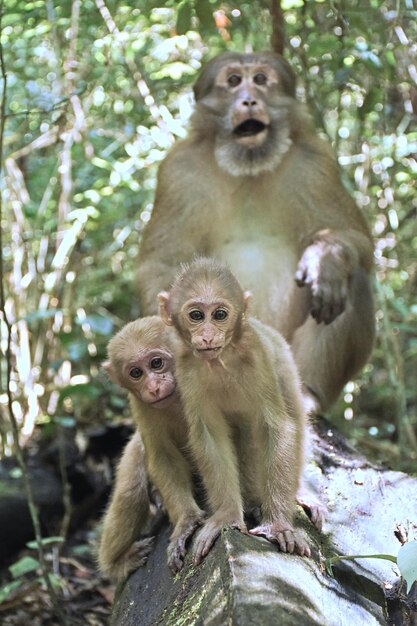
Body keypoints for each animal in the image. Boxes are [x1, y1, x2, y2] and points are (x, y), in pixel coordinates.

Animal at [97, 314, 203, 576]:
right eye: (136, 373)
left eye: (156, 363)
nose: (153, 387)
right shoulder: (140, 405)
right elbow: (163, 458)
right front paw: (186, 521)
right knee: (131, 491)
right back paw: (115, 565)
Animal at [136, 51, 374, 416]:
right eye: (234, 81)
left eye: (260, 80)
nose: (249, 99)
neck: (248, 166)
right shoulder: (178, 172)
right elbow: (163, 261)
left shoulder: (315, 163)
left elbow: (356, 239)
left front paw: (327, 259)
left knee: (351, 281)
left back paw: (308, 393)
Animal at [158, 256, 310, 564]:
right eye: (196, 316)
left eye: (219, 315)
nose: (207, 336)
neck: (221, 359)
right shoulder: (185, 368)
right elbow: (209, 436)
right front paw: (227, 517)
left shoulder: (257, 356)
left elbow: (276, 427)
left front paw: (278, 524)